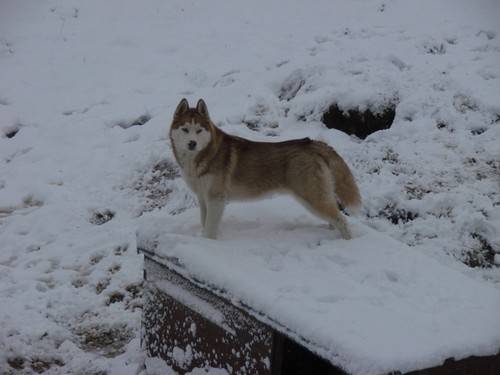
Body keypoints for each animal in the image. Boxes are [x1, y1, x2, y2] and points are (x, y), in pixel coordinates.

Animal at [170, 99, 362, 241]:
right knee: (335, 216)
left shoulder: (216, 199)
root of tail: (313, 143)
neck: (200, 157)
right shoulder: (203, 198)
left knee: (341, 219)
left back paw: (346, 242)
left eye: (199, 130)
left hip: (312, 197)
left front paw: (207, 244)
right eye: (185, 129)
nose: (192, 143)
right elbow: (205, 223)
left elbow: (210, 229)